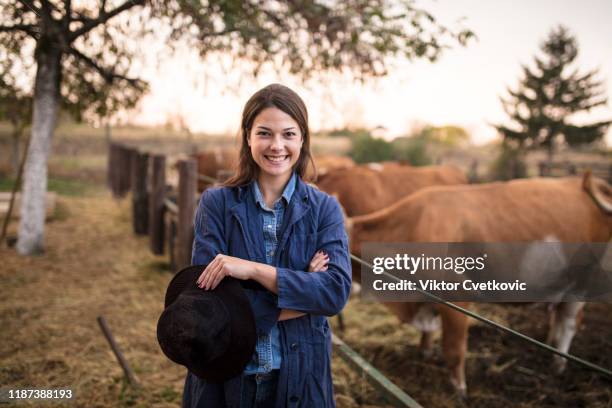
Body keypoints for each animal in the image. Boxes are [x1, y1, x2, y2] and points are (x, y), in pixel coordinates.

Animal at [344, 173, 612, 396]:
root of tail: (580, 183)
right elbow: (427, 332)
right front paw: (425, 353)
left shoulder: (457, 297)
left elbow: (454, 349)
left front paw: (459, 390)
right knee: (558, 316)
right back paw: (549, 347)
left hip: (581, 282)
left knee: (569, 322)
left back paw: (558, 364)